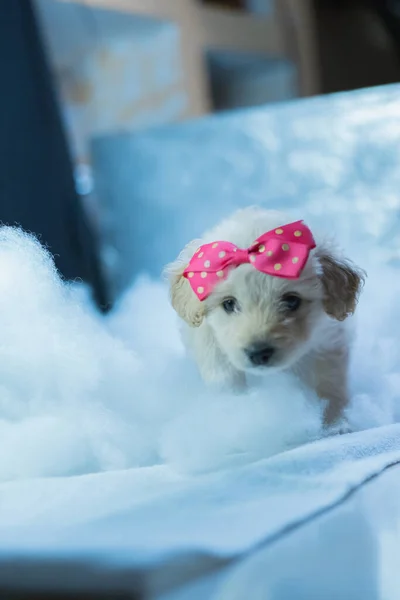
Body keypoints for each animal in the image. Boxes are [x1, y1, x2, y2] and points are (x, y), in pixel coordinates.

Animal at [164, 207, 364, 426]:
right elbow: (228, 381)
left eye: (291, 301)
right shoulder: (213, 351)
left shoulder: (329, 345)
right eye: (229, 304)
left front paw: (334, 423)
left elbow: (330, 386)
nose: (258, 353)